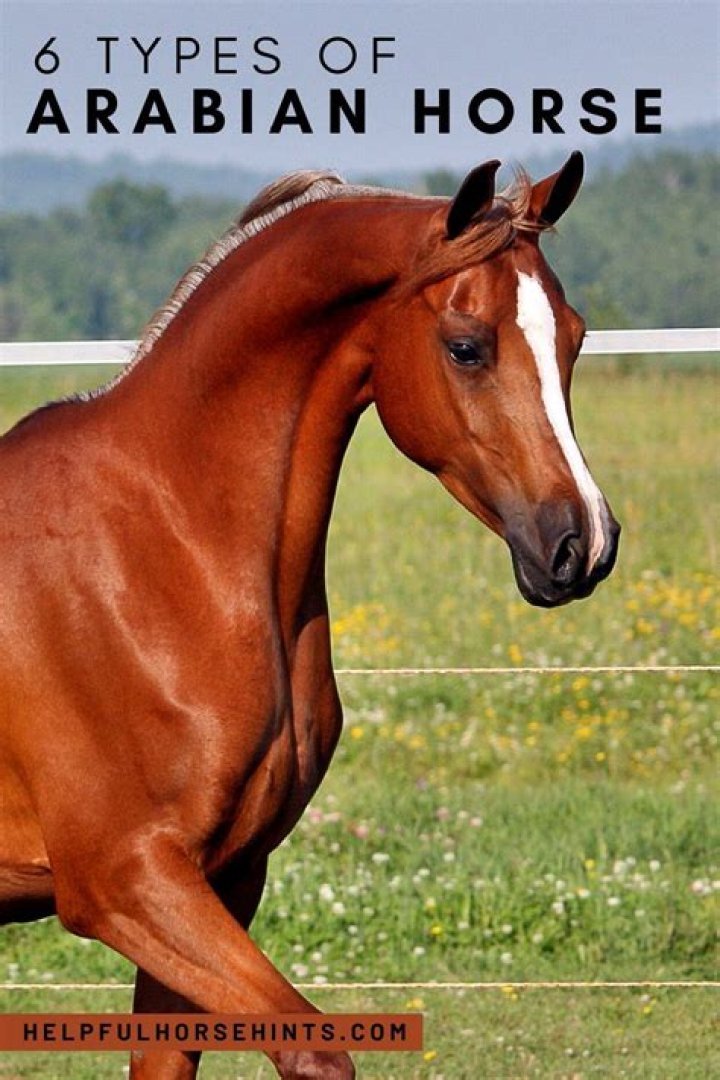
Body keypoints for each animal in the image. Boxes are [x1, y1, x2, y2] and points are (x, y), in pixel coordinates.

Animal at [0, 152, 619, 1079]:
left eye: (574, 337)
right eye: (466, 346)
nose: (583, 543)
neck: (158, 546)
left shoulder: (224, 878)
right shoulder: (127, 883)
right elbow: (319, 1055)